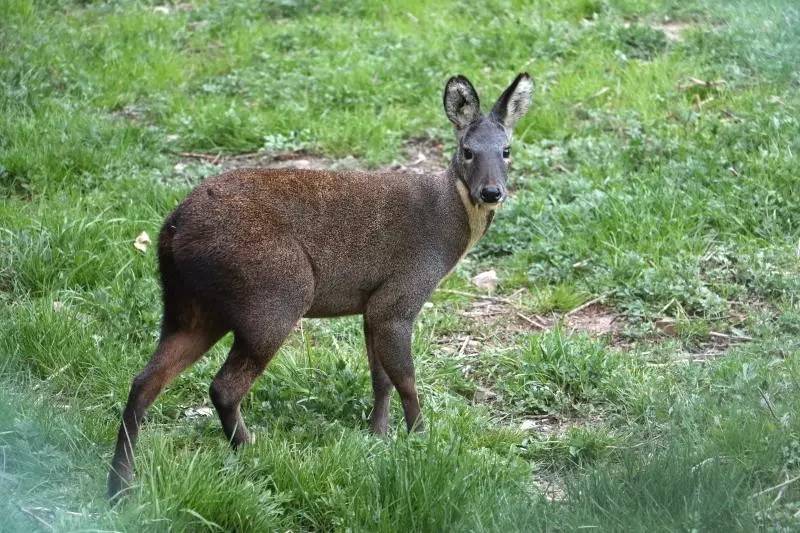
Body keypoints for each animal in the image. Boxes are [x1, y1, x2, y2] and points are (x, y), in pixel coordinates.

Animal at [106, 71, 532, 498]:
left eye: (507, 150)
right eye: (467, 151)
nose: (491, 192)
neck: (449, 226)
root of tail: (173, 227)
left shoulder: (371, 305)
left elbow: (380, 378)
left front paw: (378, 436)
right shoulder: (400, 295)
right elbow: (406, 378)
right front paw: (422, 441)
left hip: (189, 308)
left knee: (144, 381)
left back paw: (120, 486)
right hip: (276, 295)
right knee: (222, 387)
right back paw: (252, 455)